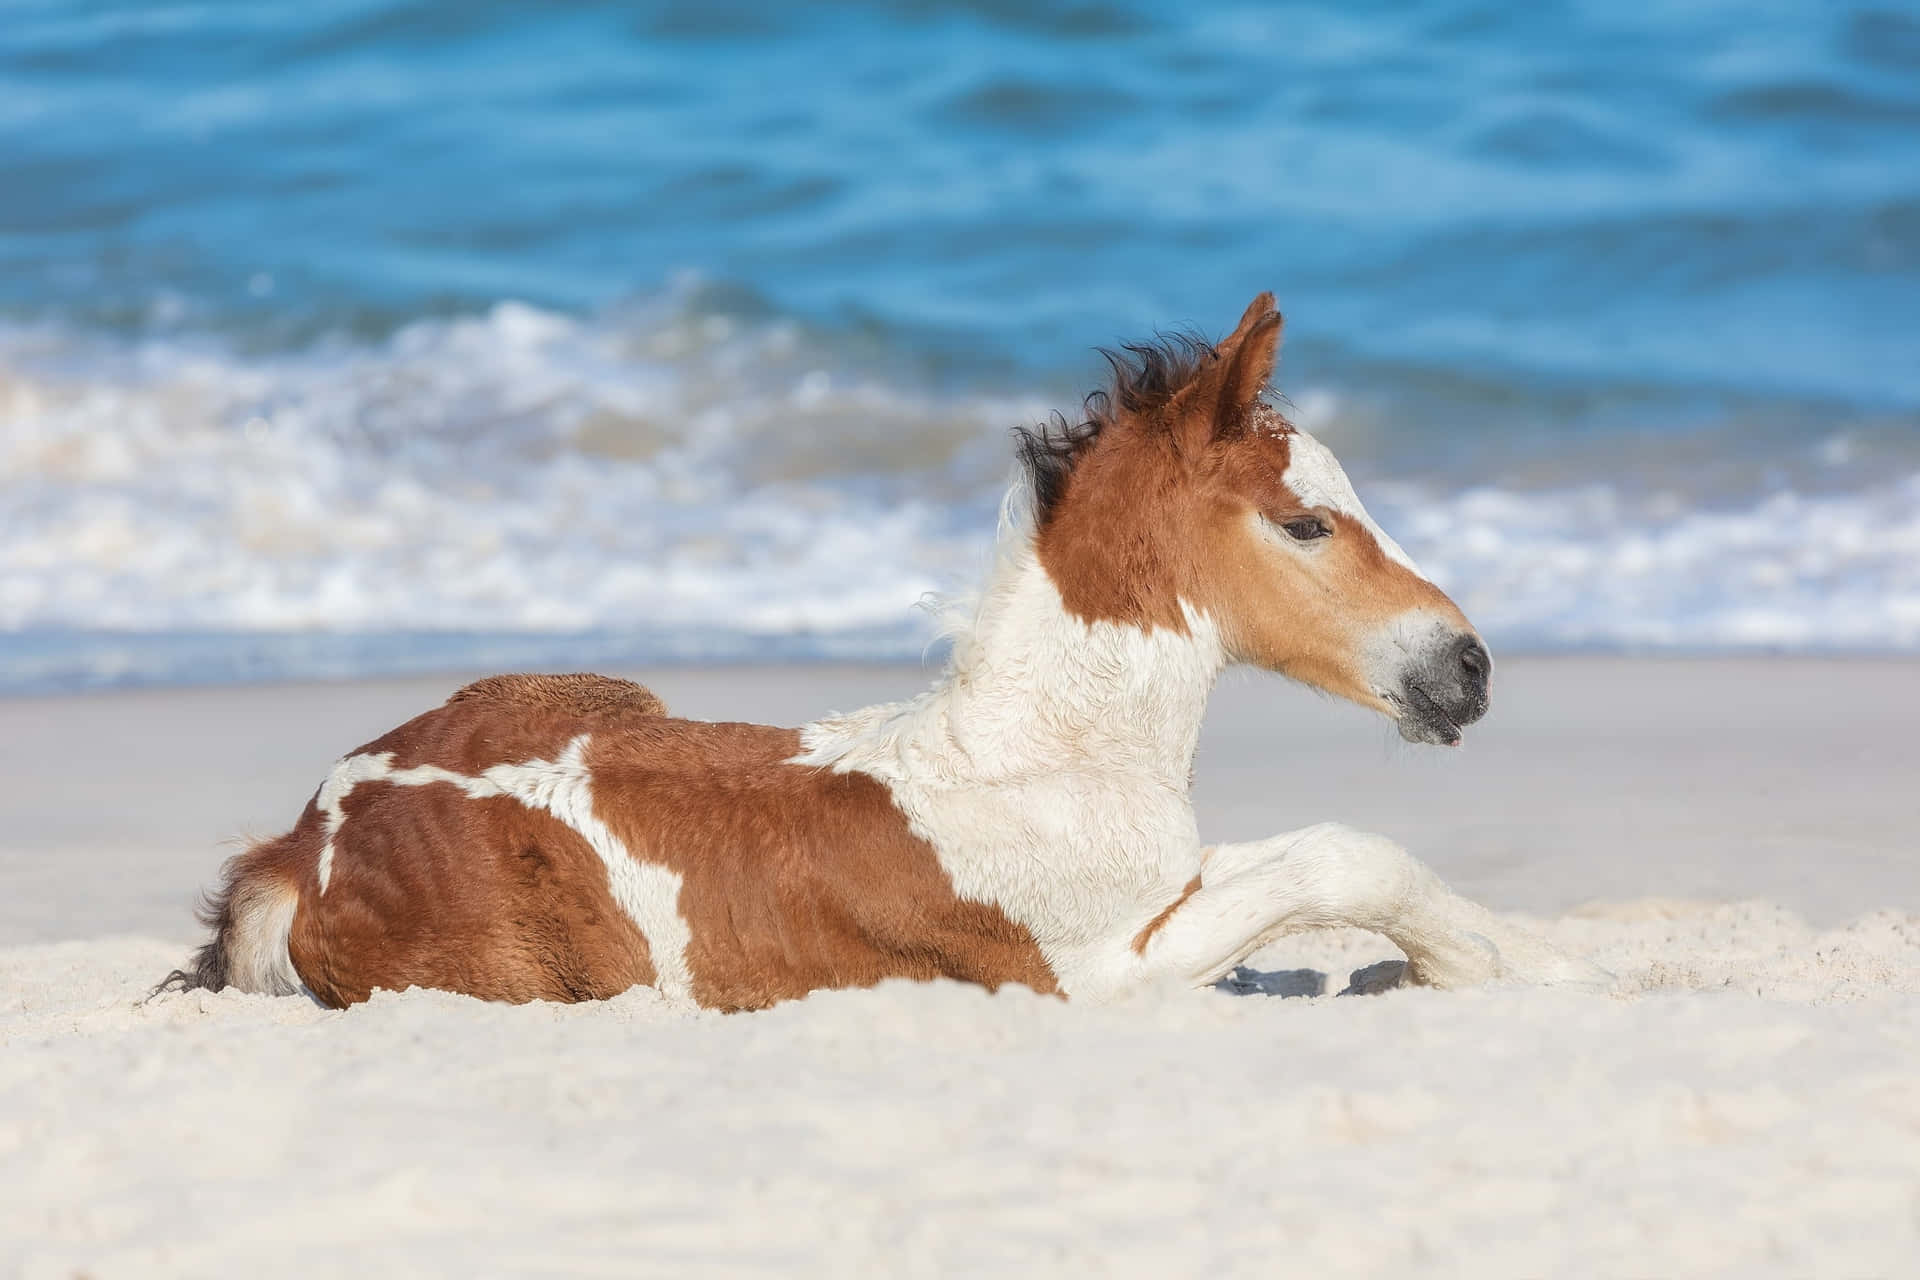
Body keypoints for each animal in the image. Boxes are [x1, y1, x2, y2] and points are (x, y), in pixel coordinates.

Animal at [161, 293, 1604, 1011]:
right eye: (1307, 522)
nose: (1468, 666)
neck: (1036, 759)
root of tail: (311, 833)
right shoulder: (1091, 973)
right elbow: (1343, 855)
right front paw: (1490, 970)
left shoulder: (1164, 889)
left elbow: (1340, 856)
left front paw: (1532, 964)